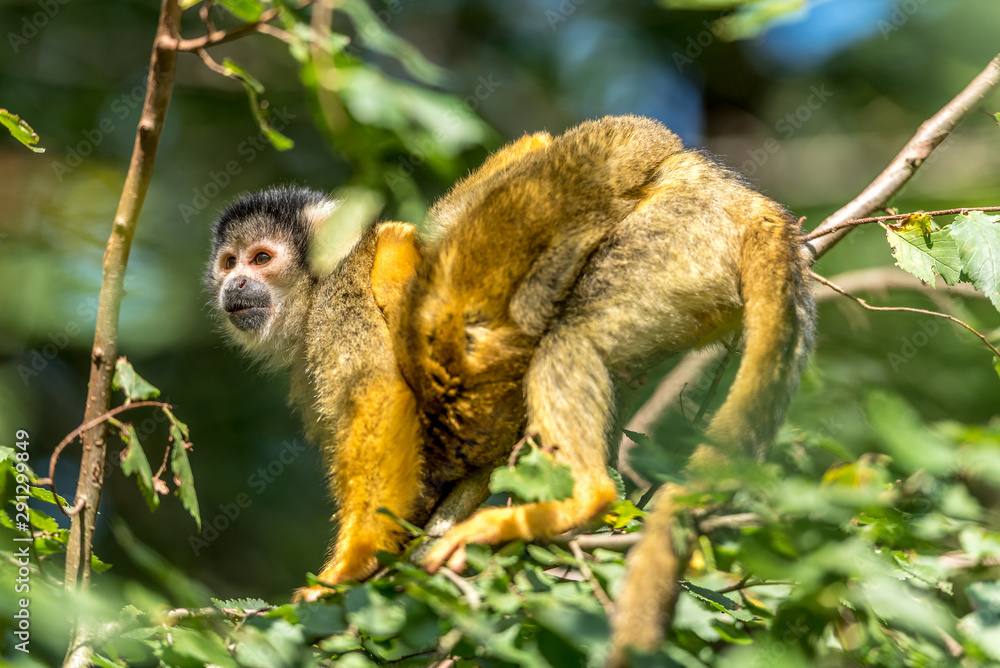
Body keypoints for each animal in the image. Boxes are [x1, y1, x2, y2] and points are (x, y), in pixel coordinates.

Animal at [205, 115, 814, 614]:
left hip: (672, 241)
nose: (235, 286)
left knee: (569, 335)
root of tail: (737, 198)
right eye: (230, 263)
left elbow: (375, 397)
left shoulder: (340, 296)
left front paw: (349, 565)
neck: (311, 295)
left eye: (262, 259)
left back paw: (581, 497)